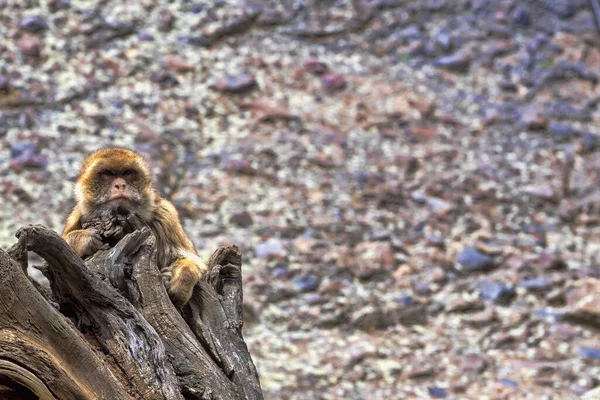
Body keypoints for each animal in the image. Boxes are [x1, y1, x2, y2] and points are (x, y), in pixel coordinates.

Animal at [63, 147, 207, 306]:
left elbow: (188, 258)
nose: (120, 185)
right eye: (107, 173)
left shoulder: (166, 214)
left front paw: (180, 285)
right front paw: (83, 239)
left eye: (127, 172)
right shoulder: (78, 215)